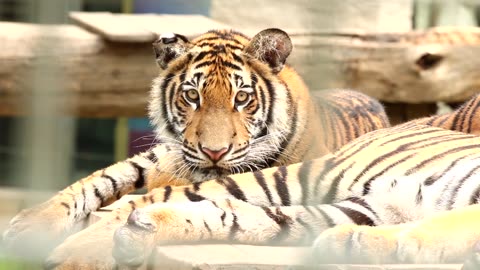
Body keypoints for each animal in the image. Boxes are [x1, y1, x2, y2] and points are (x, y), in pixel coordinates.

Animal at [2, 28, 390, 268]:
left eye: (242, 98)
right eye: (192, 95)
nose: (214, 152)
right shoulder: (165, 156)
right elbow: (100, 179)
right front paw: (30, 226)